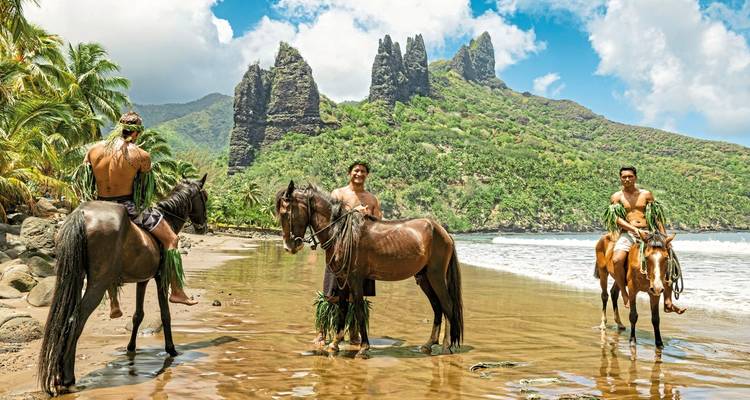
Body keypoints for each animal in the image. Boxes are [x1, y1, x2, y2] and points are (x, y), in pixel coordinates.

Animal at [38, 175, 209, 395]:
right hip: (98, 282)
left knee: (65, 318)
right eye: (205, 197)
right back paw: (67, 377)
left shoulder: (142, 280)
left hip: (73, 275)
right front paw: (171, 349)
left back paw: (59, 373)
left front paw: (131, 348)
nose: (204, 226)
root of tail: (81, 213)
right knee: (76, 320)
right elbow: (166, 315)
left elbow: (138, 316)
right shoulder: (160, 277)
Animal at [275, 181, 463, 358]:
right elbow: (342, 308)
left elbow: (358, 309)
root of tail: (442, 231)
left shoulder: (355, 278)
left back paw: (446, 345)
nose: (289, 246)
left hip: (436, 276)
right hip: (423, 278)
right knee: (437, 307)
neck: (341, 232)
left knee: (447, 305)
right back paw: (429, 344)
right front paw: (335, 344)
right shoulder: (342, 279)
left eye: (286, 213)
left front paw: (363, 348)